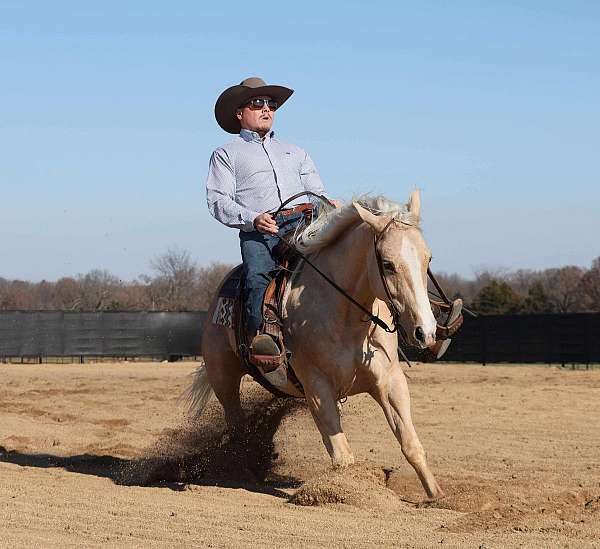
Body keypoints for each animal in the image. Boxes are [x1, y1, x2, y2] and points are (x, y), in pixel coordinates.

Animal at [190, 191, 442, 498]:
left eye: (427, 259)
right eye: (387, 264)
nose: (425, 332)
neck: (345, 316)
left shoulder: (389, 380)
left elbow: (410, 444)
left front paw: (436, 496)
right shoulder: (317, 387)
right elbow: (343, 456)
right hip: (223, 379)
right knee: (237, 428)